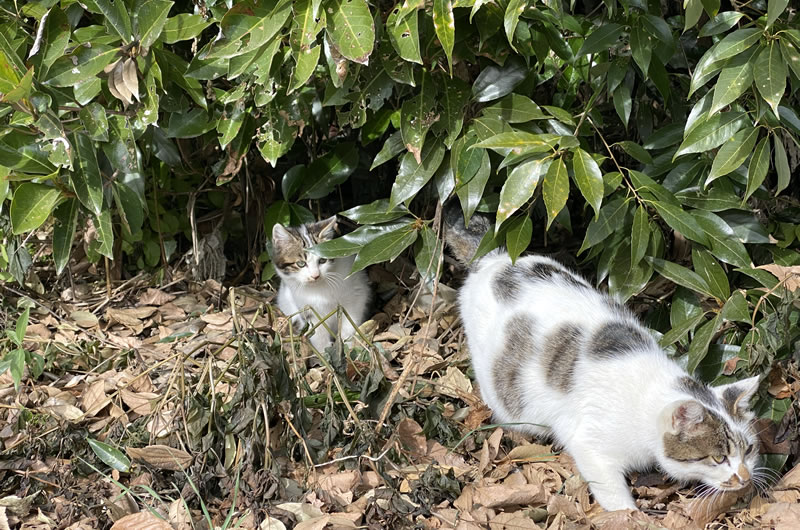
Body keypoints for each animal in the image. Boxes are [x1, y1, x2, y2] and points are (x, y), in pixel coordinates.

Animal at [268, 216, 368, 350]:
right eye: (301, 263)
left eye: (322, 260)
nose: (315, 275)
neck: (319, 289)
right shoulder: (307, 308)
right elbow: (317, 331)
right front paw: (323, 351)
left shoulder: (356, 294)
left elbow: (350, 321)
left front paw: (348, 346)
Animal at [444, 207, 764, 512]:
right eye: (719, 457)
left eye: (748, 450)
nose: (745, 477)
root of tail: (495, 259)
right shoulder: (590, 445)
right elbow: (613, 494)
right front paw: (631, 516)